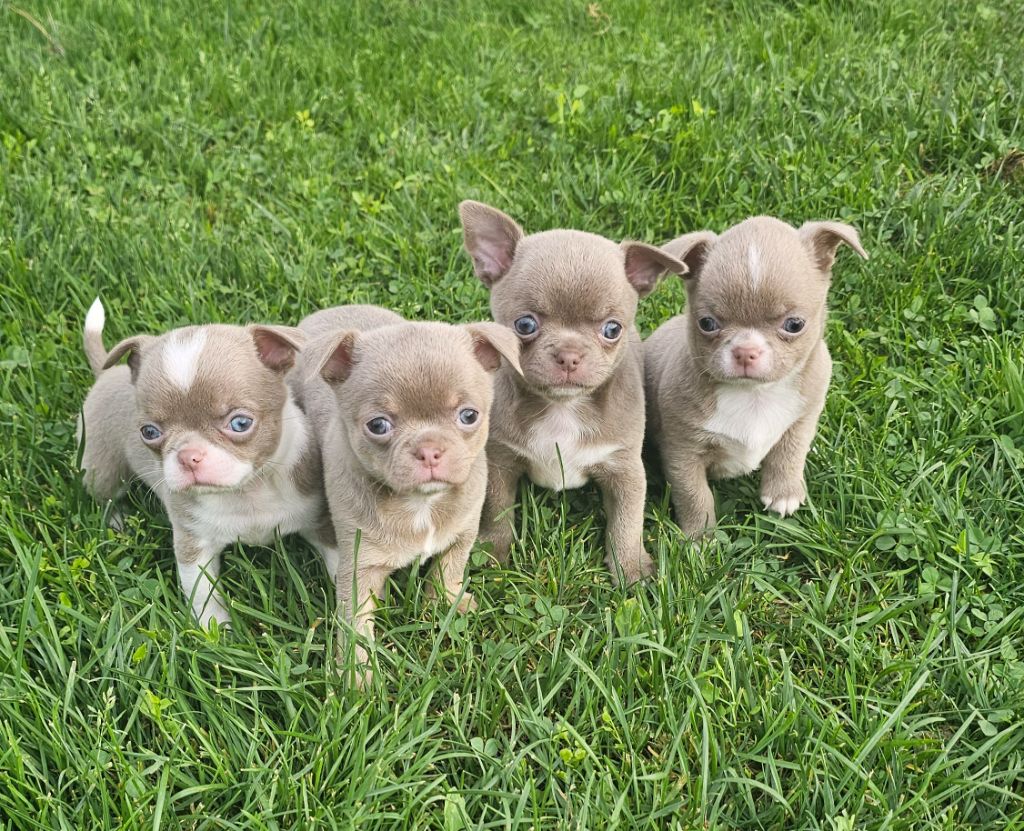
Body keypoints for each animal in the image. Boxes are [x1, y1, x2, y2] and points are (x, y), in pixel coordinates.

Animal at [81, 298, 335, 622]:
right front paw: (217, 629)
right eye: (149, 432)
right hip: (102, 467)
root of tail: (107, 374)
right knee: (105, 495)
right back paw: (116, 519)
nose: (188, 456)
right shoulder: (194, 544)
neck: (247, 492)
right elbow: (203, 594)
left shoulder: (320, 522)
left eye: (240, 423)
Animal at [294, 300, 520, 683]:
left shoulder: (464, 532)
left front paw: (446, 603)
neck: (421, 503)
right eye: (378, 425)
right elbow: (355, 623)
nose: (429, 450)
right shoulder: (359, 565)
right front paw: (357, 676)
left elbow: (449, 569)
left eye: (469, 416)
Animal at [458, 200, 688, 585]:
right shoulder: (501, 463)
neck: (562, 408)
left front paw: (630, 567)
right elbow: (497, 511)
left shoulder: (625, 470)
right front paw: (492, 552)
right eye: (524, 325)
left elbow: (626, 523)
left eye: (612, 329)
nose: (569, 354)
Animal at [643, 217, 868, 536]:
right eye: (707, 323)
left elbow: (790, 453)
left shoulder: (803, 418)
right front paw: (700, 536)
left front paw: (784, 492)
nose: (746, 351)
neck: (754, 394)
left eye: (795, 324)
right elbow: (694, 494)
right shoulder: (682, 453)